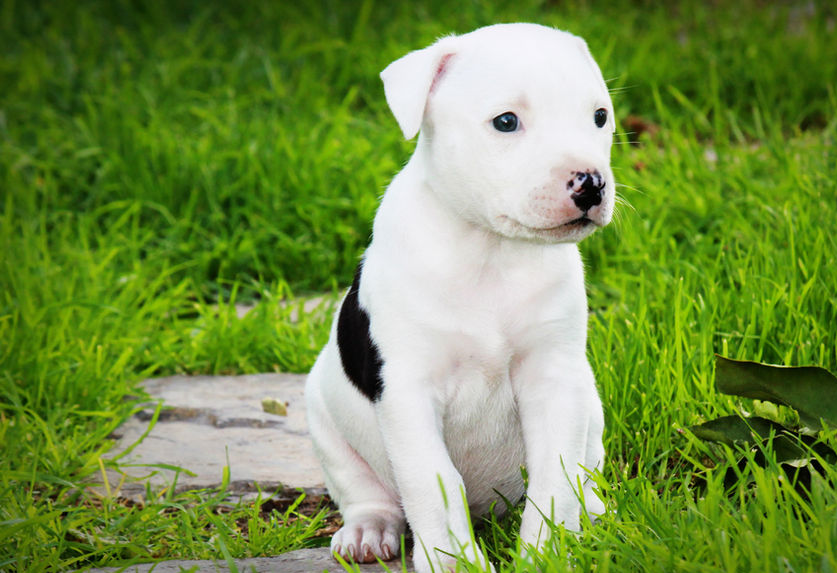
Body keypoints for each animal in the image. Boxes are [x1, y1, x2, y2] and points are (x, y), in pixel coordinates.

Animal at [304, 23, 612, 572]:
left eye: (599, 116)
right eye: (506, 122)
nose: (591, 183)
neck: (489, 251)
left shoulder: (555, 380)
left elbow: (555, 472)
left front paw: (548, 552)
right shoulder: (408, 393)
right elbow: (434, 483)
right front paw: (453, 561)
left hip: (589, 405)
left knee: (584, 470)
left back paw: (594, 515)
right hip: (323, 416)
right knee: (367, 493)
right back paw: (368, 530)